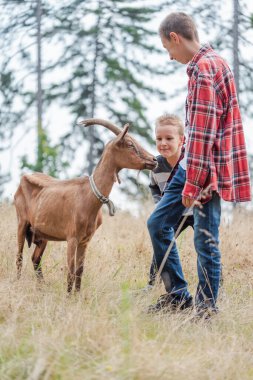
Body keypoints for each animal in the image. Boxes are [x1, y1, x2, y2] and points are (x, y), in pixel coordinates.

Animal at [13, 120, 157, 292]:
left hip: (42, 235)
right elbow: (70, 271)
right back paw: (18, 282)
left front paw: (77, 295)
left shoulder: (85, 240)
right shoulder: (72, 237)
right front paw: (69, 296)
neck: (89, 196)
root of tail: (24, 178)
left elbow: (79, 270)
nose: (154, 160)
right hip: (21, 223)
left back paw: (42, 287)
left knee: (35, 258)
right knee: (19, 257)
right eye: (130, 144)